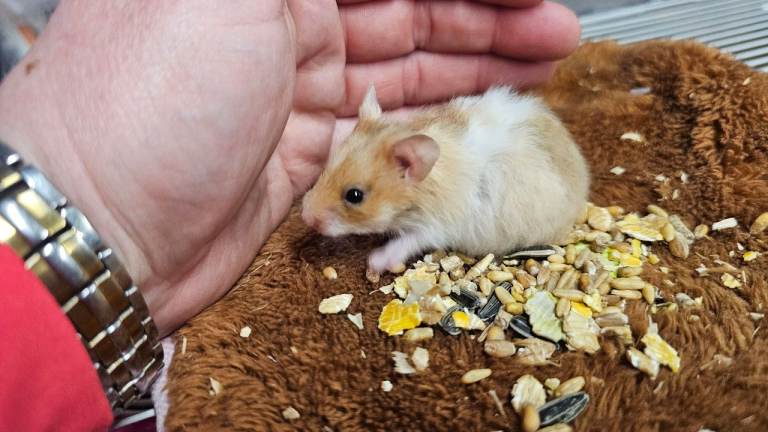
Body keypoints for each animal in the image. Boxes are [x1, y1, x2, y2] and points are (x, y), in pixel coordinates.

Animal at [301, 85, 590, 274]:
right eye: (325, 169)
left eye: (354, 195)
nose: (305, 216)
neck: (422, 189)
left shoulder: (434, 226)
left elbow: (407, 242)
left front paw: (375, 261)